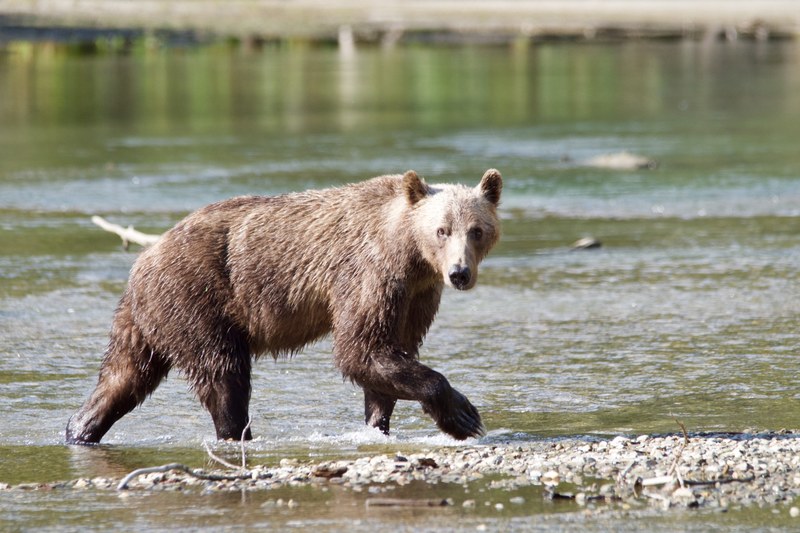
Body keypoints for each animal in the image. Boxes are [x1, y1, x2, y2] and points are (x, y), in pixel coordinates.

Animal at [65, 169, 502, 444]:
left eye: (477, 230)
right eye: (441, 229)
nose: (459, 273)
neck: (408, 253)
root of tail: (144, 257)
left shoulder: (415, 295)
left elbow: (392, 353)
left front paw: (377, 422)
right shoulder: (369, 274)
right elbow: (360, 349)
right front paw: (464, 416)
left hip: (147, 319)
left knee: (124, 377)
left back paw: (79, 428)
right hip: (196, 298)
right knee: (224, 374)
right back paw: (236, 432)